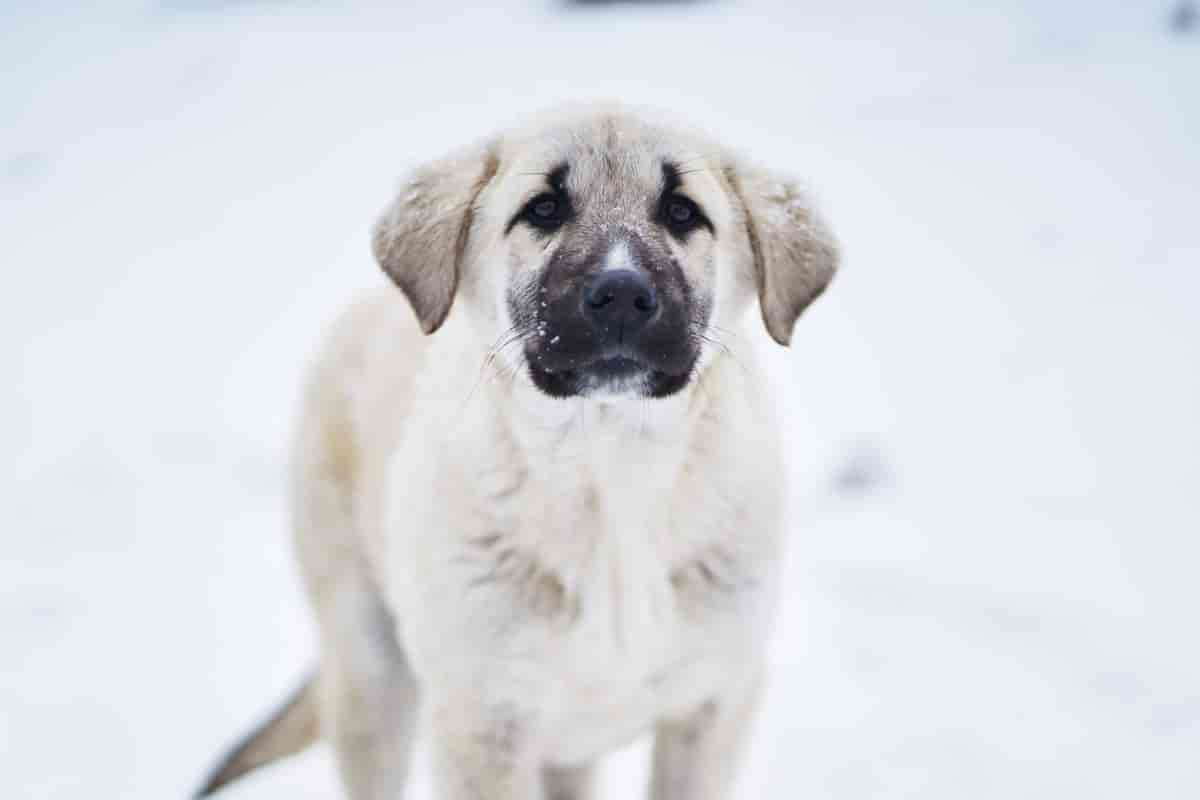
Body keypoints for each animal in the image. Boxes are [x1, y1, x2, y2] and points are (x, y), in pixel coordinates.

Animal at [194, 106, 835, 800]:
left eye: (682, 211)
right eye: (545, 209)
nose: (621, 295)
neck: (611, 476)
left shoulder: (714, 705)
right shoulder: (481, 721)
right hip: (369, 669)